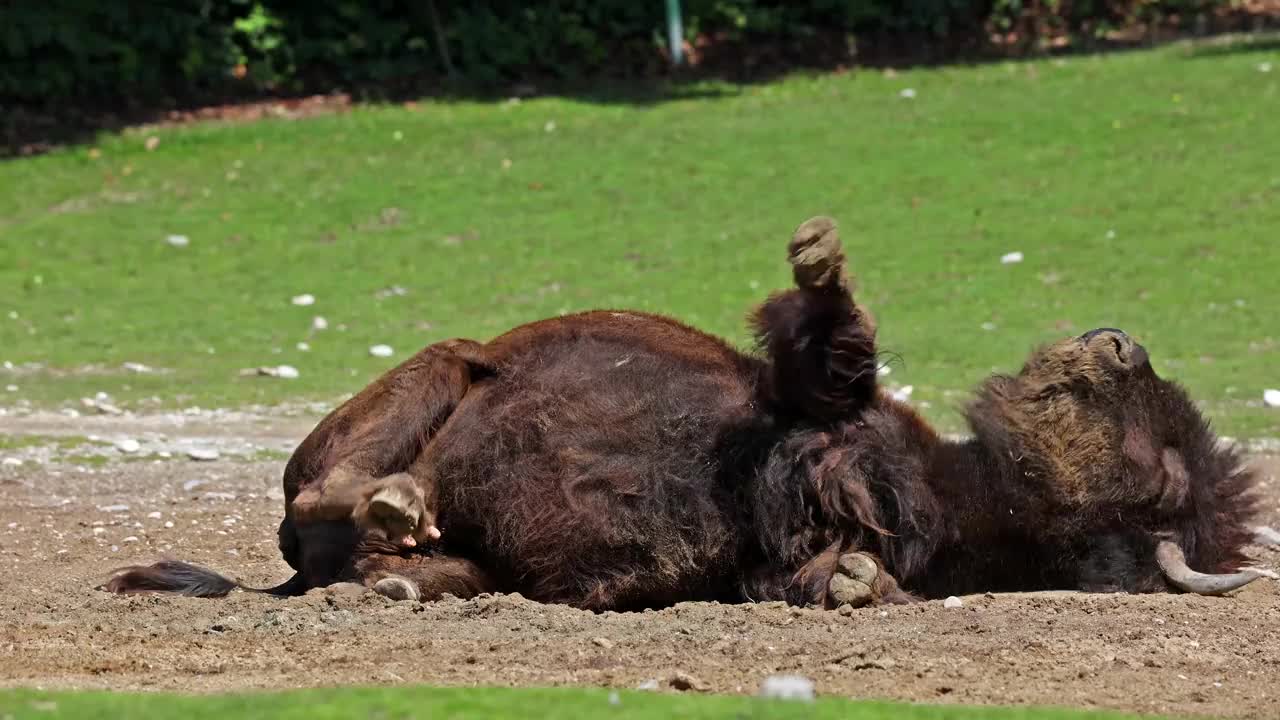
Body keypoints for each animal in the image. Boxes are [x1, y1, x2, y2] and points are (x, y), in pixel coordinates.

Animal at [102, 217, 1269, 604]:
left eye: (1166, 470)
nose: (1115, 338)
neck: (958, 498)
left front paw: (857, 584)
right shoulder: (804, 412)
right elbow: (830, 352)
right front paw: (819, 257)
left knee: (376, 552)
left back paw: (396, 573)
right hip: (445, 368)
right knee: (323, 495)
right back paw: (392, 509)